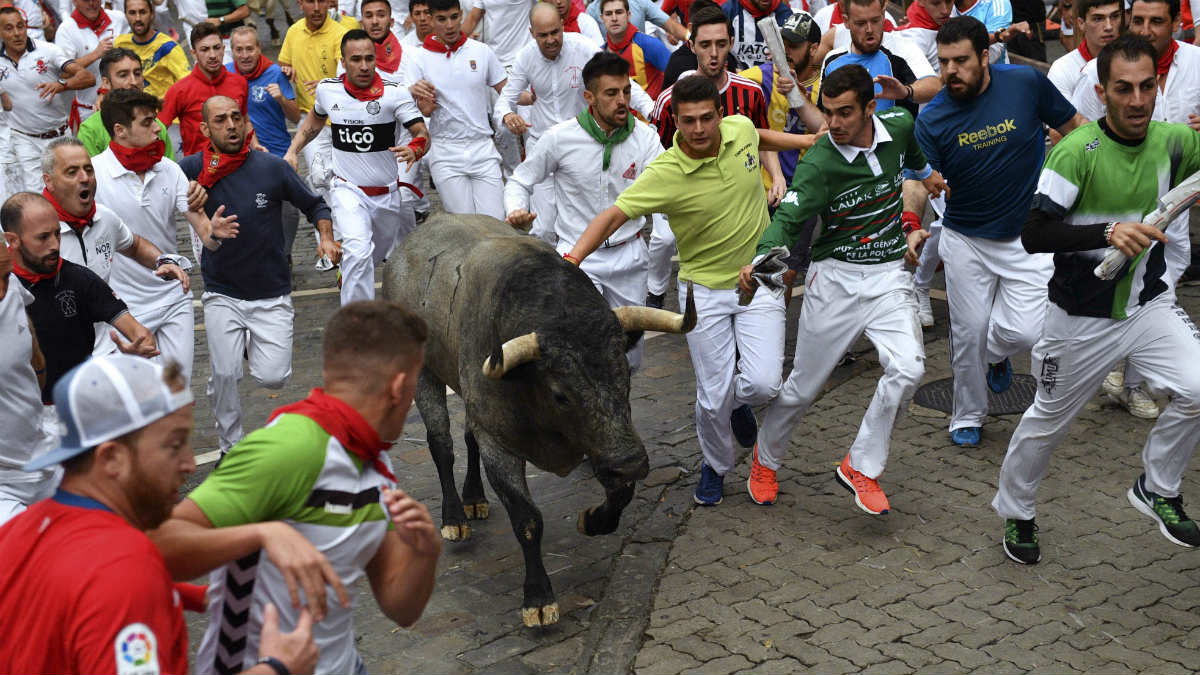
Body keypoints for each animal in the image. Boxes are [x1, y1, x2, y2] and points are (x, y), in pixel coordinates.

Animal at [386, 214, 696, 624]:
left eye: (626, 378)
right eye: (560, 394)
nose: (631, 462)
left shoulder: (602, 443)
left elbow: (620, 492)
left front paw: (595, 520)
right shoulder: (500, 444)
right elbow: (528, 519)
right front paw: (537, 597)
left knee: (467, 439)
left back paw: (474, 498)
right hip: (424, 374)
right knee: (442, 445)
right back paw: (454, 517)